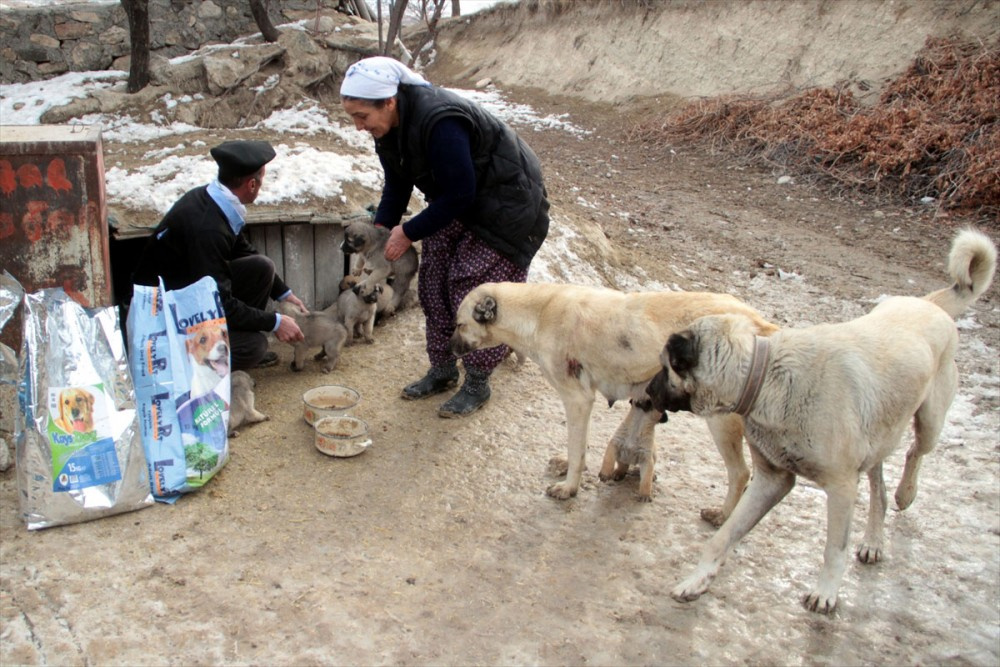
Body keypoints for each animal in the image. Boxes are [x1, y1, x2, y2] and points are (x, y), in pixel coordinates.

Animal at [450, 282, 776, 516]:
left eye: (459, 324)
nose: (449, 348)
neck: (538, 313)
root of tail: (761, 323)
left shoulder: (578, 400)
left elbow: (577, 451)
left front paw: (569, 487)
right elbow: (578, 447)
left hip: (722, 421)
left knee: (740, 473)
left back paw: (721, 516)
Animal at [644, 227, 996, 612]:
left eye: (665, 367)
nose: (646, 389)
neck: (768, 376)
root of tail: (929, 304)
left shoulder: (841, 488)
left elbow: (833, 549)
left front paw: (825, 592)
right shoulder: (773, 480)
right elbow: (723, 537)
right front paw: (697, 580)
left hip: (930, 420)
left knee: (914, 452)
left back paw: (907, 493)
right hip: (876, 437)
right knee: (879, 489)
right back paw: (874, 540)